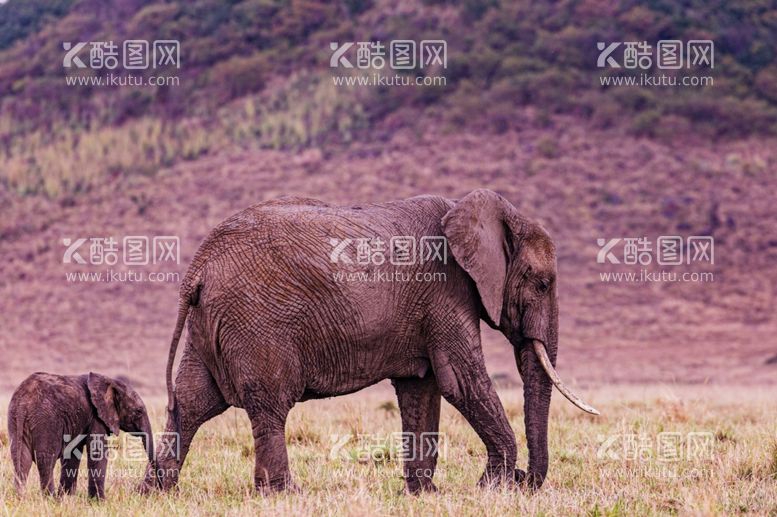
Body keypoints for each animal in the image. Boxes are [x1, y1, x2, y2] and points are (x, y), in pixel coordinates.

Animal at [7, 370, 153, 496]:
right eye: (139, 411)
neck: (110, 381)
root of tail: (24, 402)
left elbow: (72, 454)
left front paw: (66, 498)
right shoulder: (96, 417)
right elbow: (97, 452)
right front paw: (98, 502)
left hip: (15, 418)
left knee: (21, 458)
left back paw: (21, 498)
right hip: (46, 419)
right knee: (46, 460)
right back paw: (50, 499)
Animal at [144, 188, 596, 492]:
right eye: (542, 284)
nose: (525, 480)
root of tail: (198, 267)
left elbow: (421, 390)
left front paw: (423, 495)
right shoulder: (446, 291)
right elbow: (461, 381)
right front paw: (492, 487)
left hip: (210, 323)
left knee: (192, 400)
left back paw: (157, 490)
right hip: (255, 322)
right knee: (268, 404)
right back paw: (284, 495)